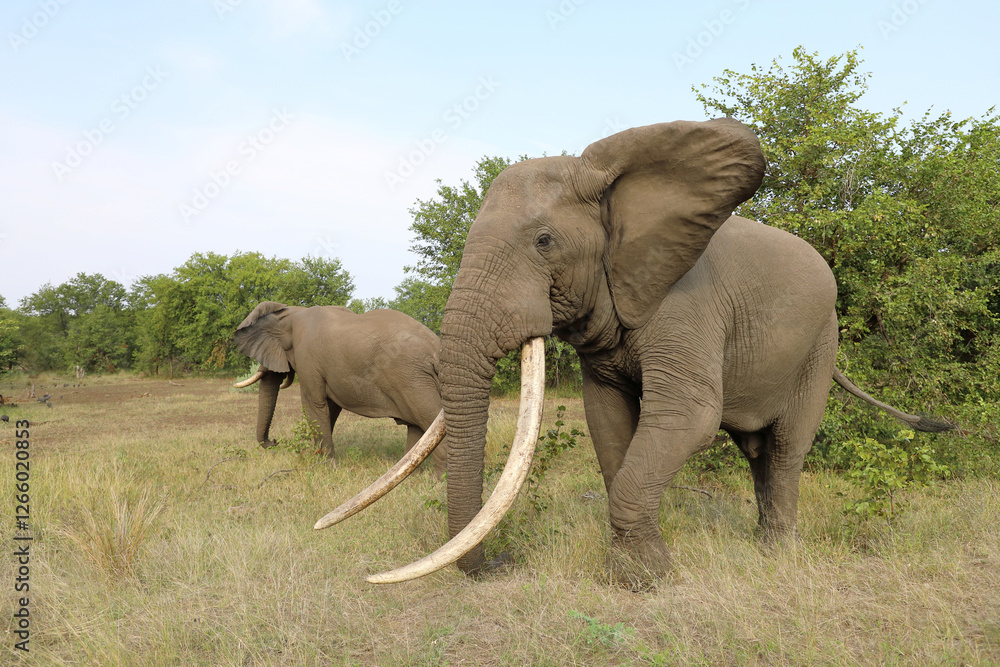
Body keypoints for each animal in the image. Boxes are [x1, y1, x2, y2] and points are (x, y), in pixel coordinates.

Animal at [233, 301, 446, 472]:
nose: (275, 441)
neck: (291, 313)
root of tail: (436, 349)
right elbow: (331, 408)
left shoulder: (307, 358)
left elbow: (314, 404)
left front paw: (324, 468)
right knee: (417, 425)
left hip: (411, 378)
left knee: (427, 418)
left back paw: (438, 481)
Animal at [316, 118, 951, 587]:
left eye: (544, 242)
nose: (500, 563)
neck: (616, 193)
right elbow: (607, 419)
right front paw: (636, 572)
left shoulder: (687, 305)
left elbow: (688, 416)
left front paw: (644, 581)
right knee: (756, 452)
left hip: (820, 340)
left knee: (788, 446)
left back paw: (776, 552)